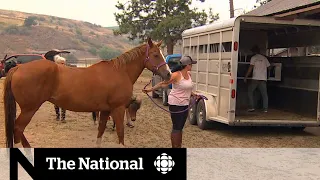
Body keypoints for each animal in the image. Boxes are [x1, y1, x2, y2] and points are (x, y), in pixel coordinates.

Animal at [3, 37, 172, 148]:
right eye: (156, 55)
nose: (169, 74)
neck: (119, 71)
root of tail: (18, 67)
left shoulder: (105, 110)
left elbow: (101, 131)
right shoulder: (117, 109)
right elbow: (120, 133)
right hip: (29, 109)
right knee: (18, 128)